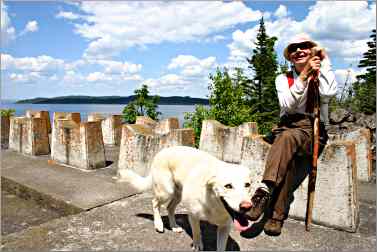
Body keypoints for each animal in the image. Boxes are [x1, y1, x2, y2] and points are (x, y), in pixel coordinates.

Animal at [117, 145, 253, 251]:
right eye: (228, 186)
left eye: (247, 185)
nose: (247, 206)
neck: (213, 203)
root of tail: (162, 150)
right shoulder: (193, 216)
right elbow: (197, 232)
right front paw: (197, 245)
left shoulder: (225, 227)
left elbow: (221, 247)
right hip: (167, 191)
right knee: (155, 202)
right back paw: (159, 224)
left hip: (178, 195)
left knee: (169, 208)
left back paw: (174, 226)